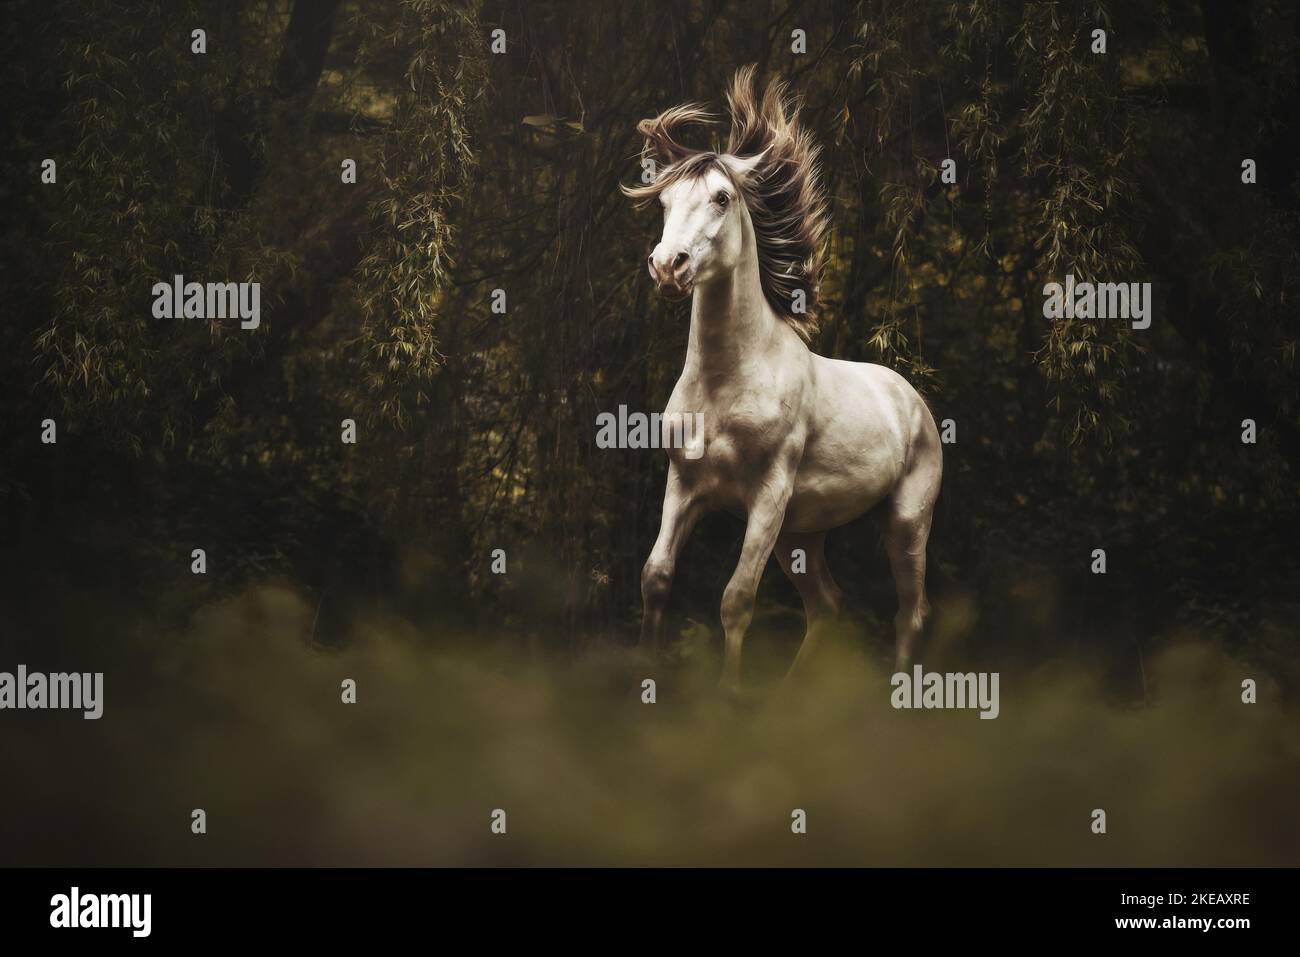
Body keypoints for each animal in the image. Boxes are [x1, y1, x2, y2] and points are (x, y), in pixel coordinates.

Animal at [623, 66, 942, 692]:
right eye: (665, 200)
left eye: (722, 198)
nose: (668, 266)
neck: (727, 382)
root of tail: (911, 398)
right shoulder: (684, 486)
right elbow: (656, 577)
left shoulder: (767, 495)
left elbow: (735, 600)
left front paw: (728, 696)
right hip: (801, 535)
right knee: (827, 605)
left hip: (905, 523)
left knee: (908, 611)